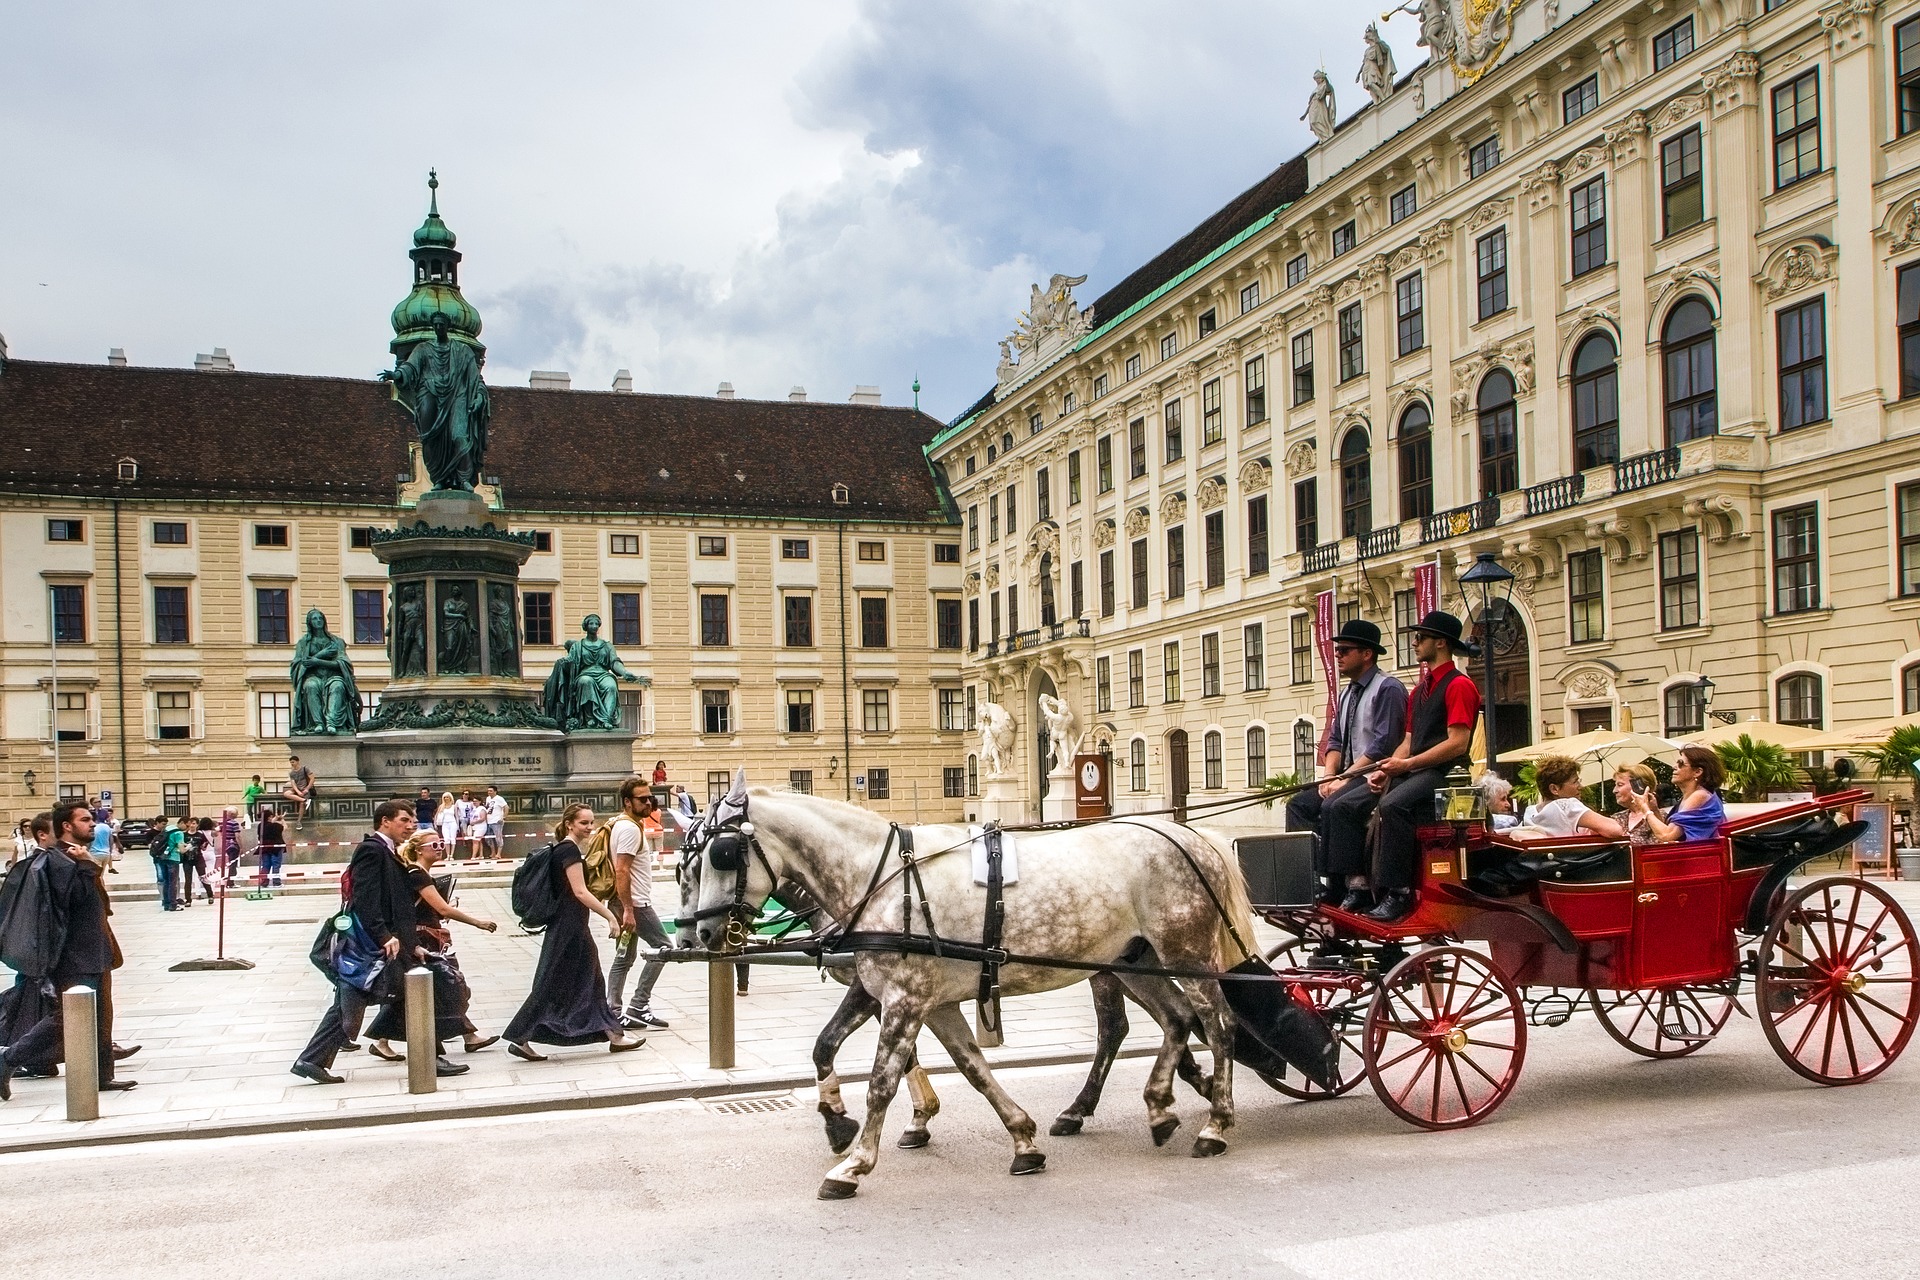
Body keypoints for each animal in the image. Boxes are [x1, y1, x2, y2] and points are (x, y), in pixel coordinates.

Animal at [683, 782, 1251, 1205]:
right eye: (685, 867)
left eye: (722, 854)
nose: (699, 936)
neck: (882, 876)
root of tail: (1191, 835)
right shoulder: (917, 998)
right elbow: (966, 1065)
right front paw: (1021, 1138)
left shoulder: (906, 998)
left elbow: (882, 1083)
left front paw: (855, 1163)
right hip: (1134, 961)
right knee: (1175, 1019)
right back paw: (1157, 1107)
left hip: (1184, 954)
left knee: (1216, 1023)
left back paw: (1215, 1123)